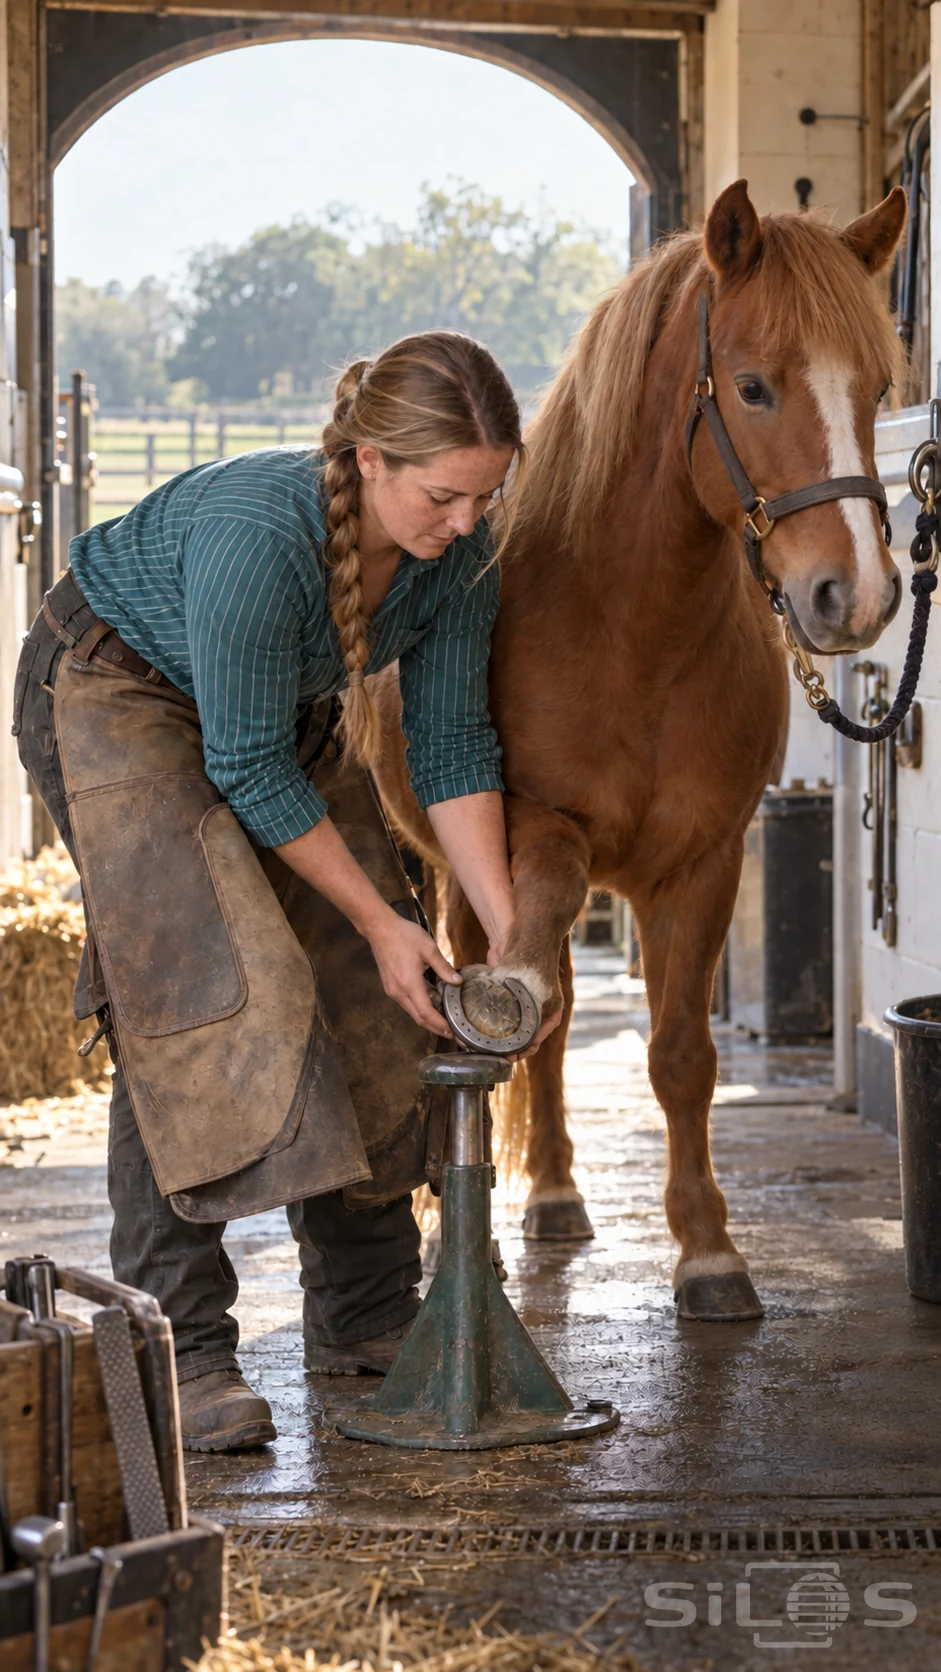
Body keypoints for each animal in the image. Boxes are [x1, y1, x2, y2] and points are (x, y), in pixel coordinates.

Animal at [372, 178, 908, 1321]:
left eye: (879, 386)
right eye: (751, 387)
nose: (854, 597)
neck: (631, 630)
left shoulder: (702, 863)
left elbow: (679, 1054)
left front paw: (708, 1251)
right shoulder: (530, 831)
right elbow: (538, 979)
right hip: (452, 875)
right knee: (541, 1008)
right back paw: (534, 1201)